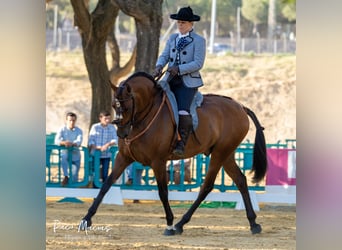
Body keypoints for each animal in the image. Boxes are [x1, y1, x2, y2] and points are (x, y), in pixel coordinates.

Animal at [79, 71, 268, 235]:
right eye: (114, 105)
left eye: (126, 106)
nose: (121, 133)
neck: (145, 116)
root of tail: (240, 107)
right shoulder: (123, 158)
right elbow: (106, 185)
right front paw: (86, 219)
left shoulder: (158, 161)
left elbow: (163, 192)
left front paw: (169, 223)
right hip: (226, 154)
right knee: (240, 180)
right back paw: (253, 223)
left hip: (220, 153)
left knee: (207, 186)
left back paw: (179, 224)